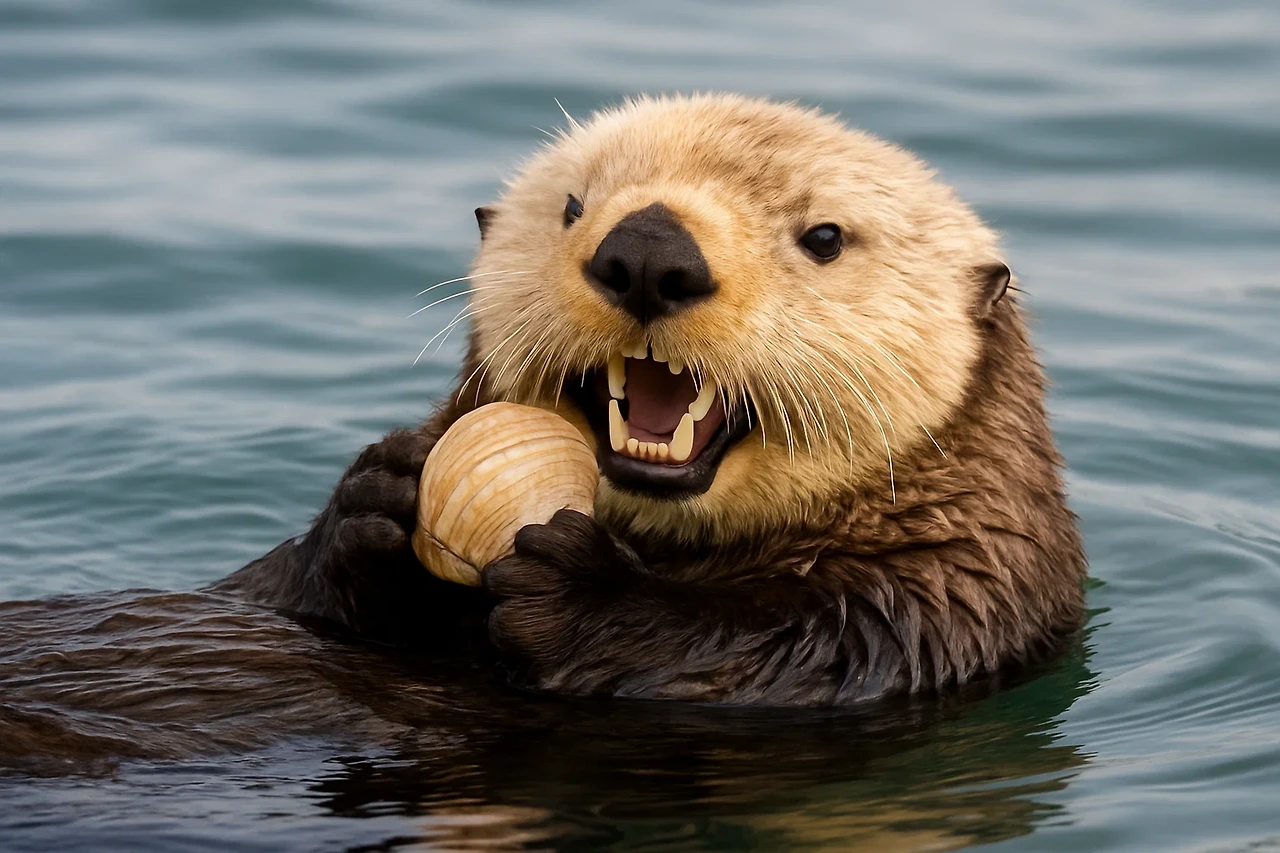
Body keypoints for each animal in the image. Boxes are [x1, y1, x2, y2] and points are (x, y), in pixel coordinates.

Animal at [217, 94, 1087, 706]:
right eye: (571, 207)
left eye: (825, 238)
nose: (646, 252)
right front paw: (380, 494)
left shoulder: (946, 597)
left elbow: (794, 644)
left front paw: (580, 590)